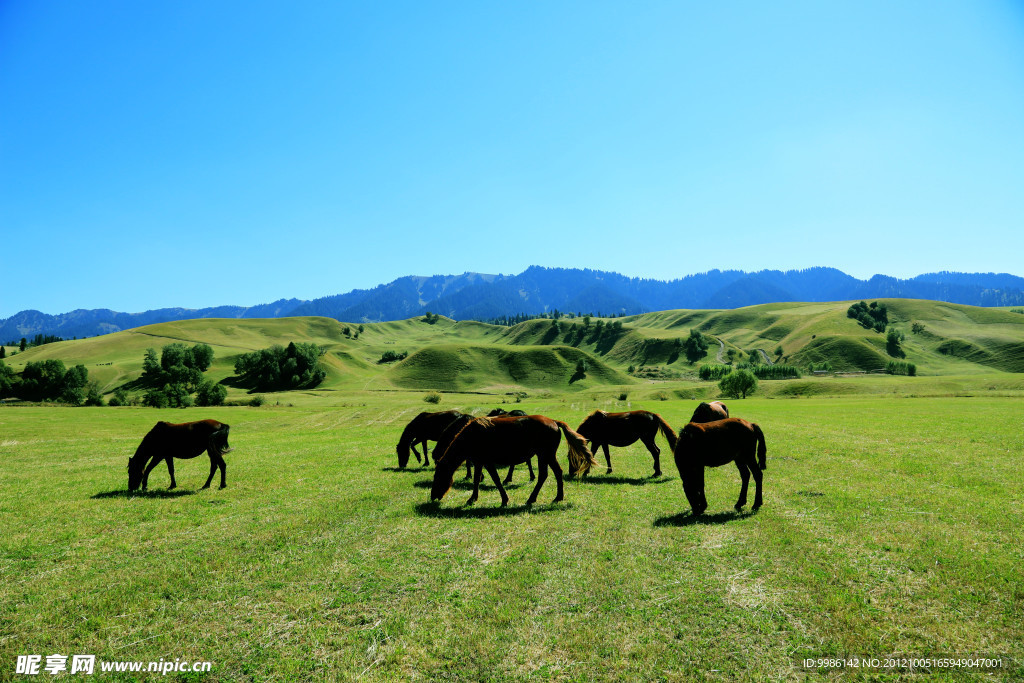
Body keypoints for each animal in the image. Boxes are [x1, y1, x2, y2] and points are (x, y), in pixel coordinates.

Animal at [428, 413, 598, 505]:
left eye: (437, 477)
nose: (433, 496)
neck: (471, 436)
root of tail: (554, 422)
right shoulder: (479, 462)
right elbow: (476, 480)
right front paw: (473, 498)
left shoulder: (487, 462)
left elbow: (496, 480)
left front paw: (504, 499)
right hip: (544, 455)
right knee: (548, 474)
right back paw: (544, 498)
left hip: (546, 454)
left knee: (552, 473)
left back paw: (548, 498)